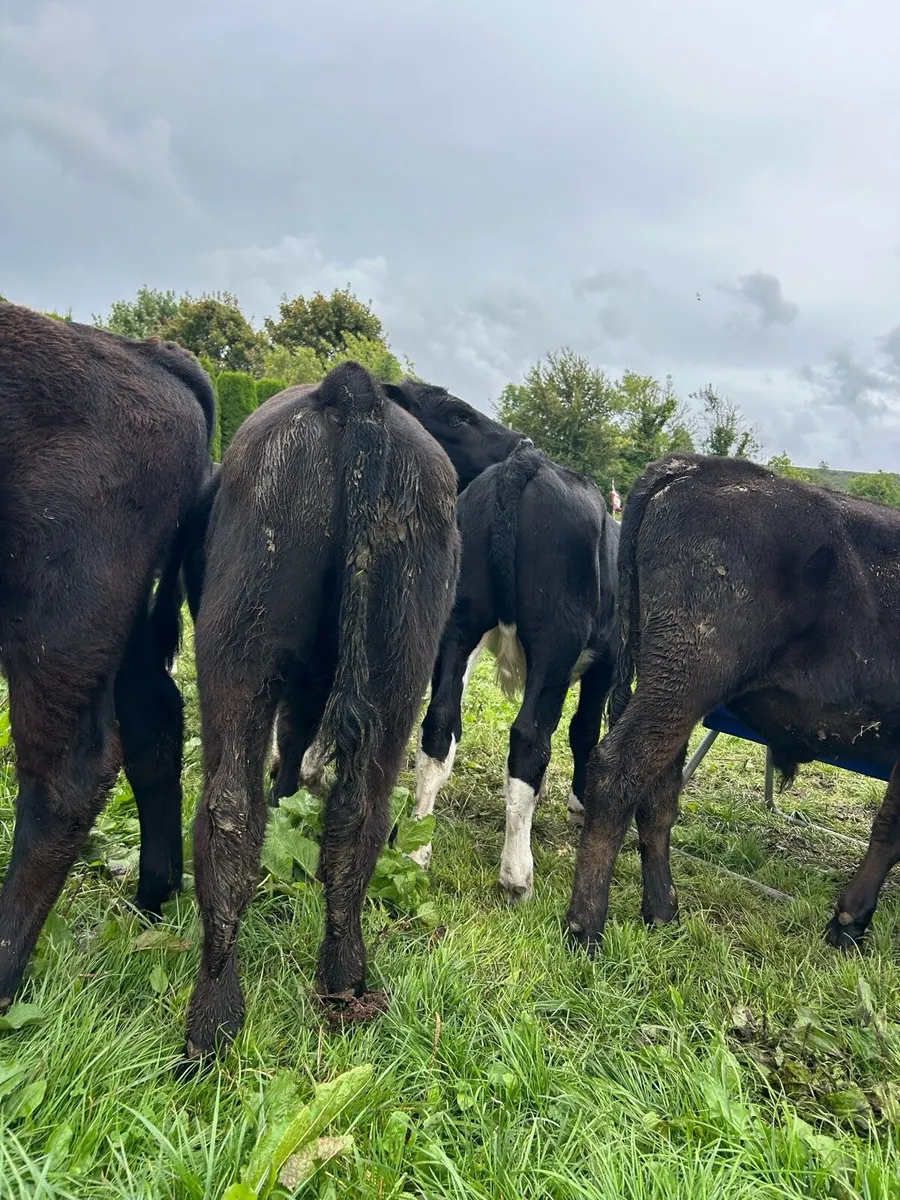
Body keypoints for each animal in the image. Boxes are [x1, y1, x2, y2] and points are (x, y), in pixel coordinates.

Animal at [185, 362, 461, 1057]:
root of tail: (350, 394)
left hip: (238, 648)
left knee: (229, 809)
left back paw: (211, 1020)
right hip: (399, 664)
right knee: (359, 813)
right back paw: (344, 982)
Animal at [410, 444, 620, 899]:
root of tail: (528, 462)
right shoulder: (606, 662)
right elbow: (584, 730)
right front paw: (580, 803)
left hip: (459, 622)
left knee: (439, 724)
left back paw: (415, 847)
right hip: (556, 640)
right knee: (528, 740)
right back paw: (516, 874)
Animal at [567, 452, 900, 953]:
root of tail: (695, 464)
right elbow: (890, 830)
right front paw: (849, 921)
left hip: (669, 687)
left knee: (659, 788)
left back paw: (662, 912)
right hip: (686, 678)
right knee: (617, 768)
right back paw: (585, 928)